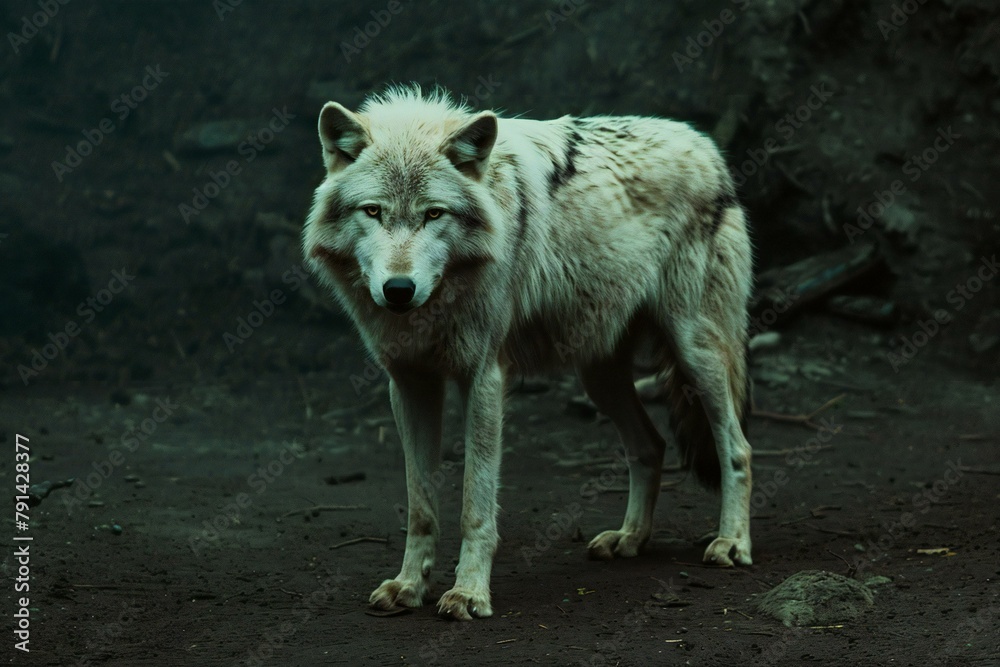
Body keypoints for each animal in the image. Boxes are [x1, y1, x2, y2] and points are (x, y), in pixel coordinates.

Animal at [300, 86, 752, 624]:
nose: (398, 289)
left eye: (434, 213)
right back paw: (629, 539)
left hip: (696, 352)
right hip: (598, 376)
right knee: (651, 445)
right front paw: (409, 586)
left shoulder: (484, 379)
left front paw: (469, 593)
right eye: (373, 212)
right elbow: (421, 506)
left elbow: (475, 505)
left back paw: (732, 543)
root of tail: (706, 146)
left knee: (737, 448)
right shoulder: (409, 383)